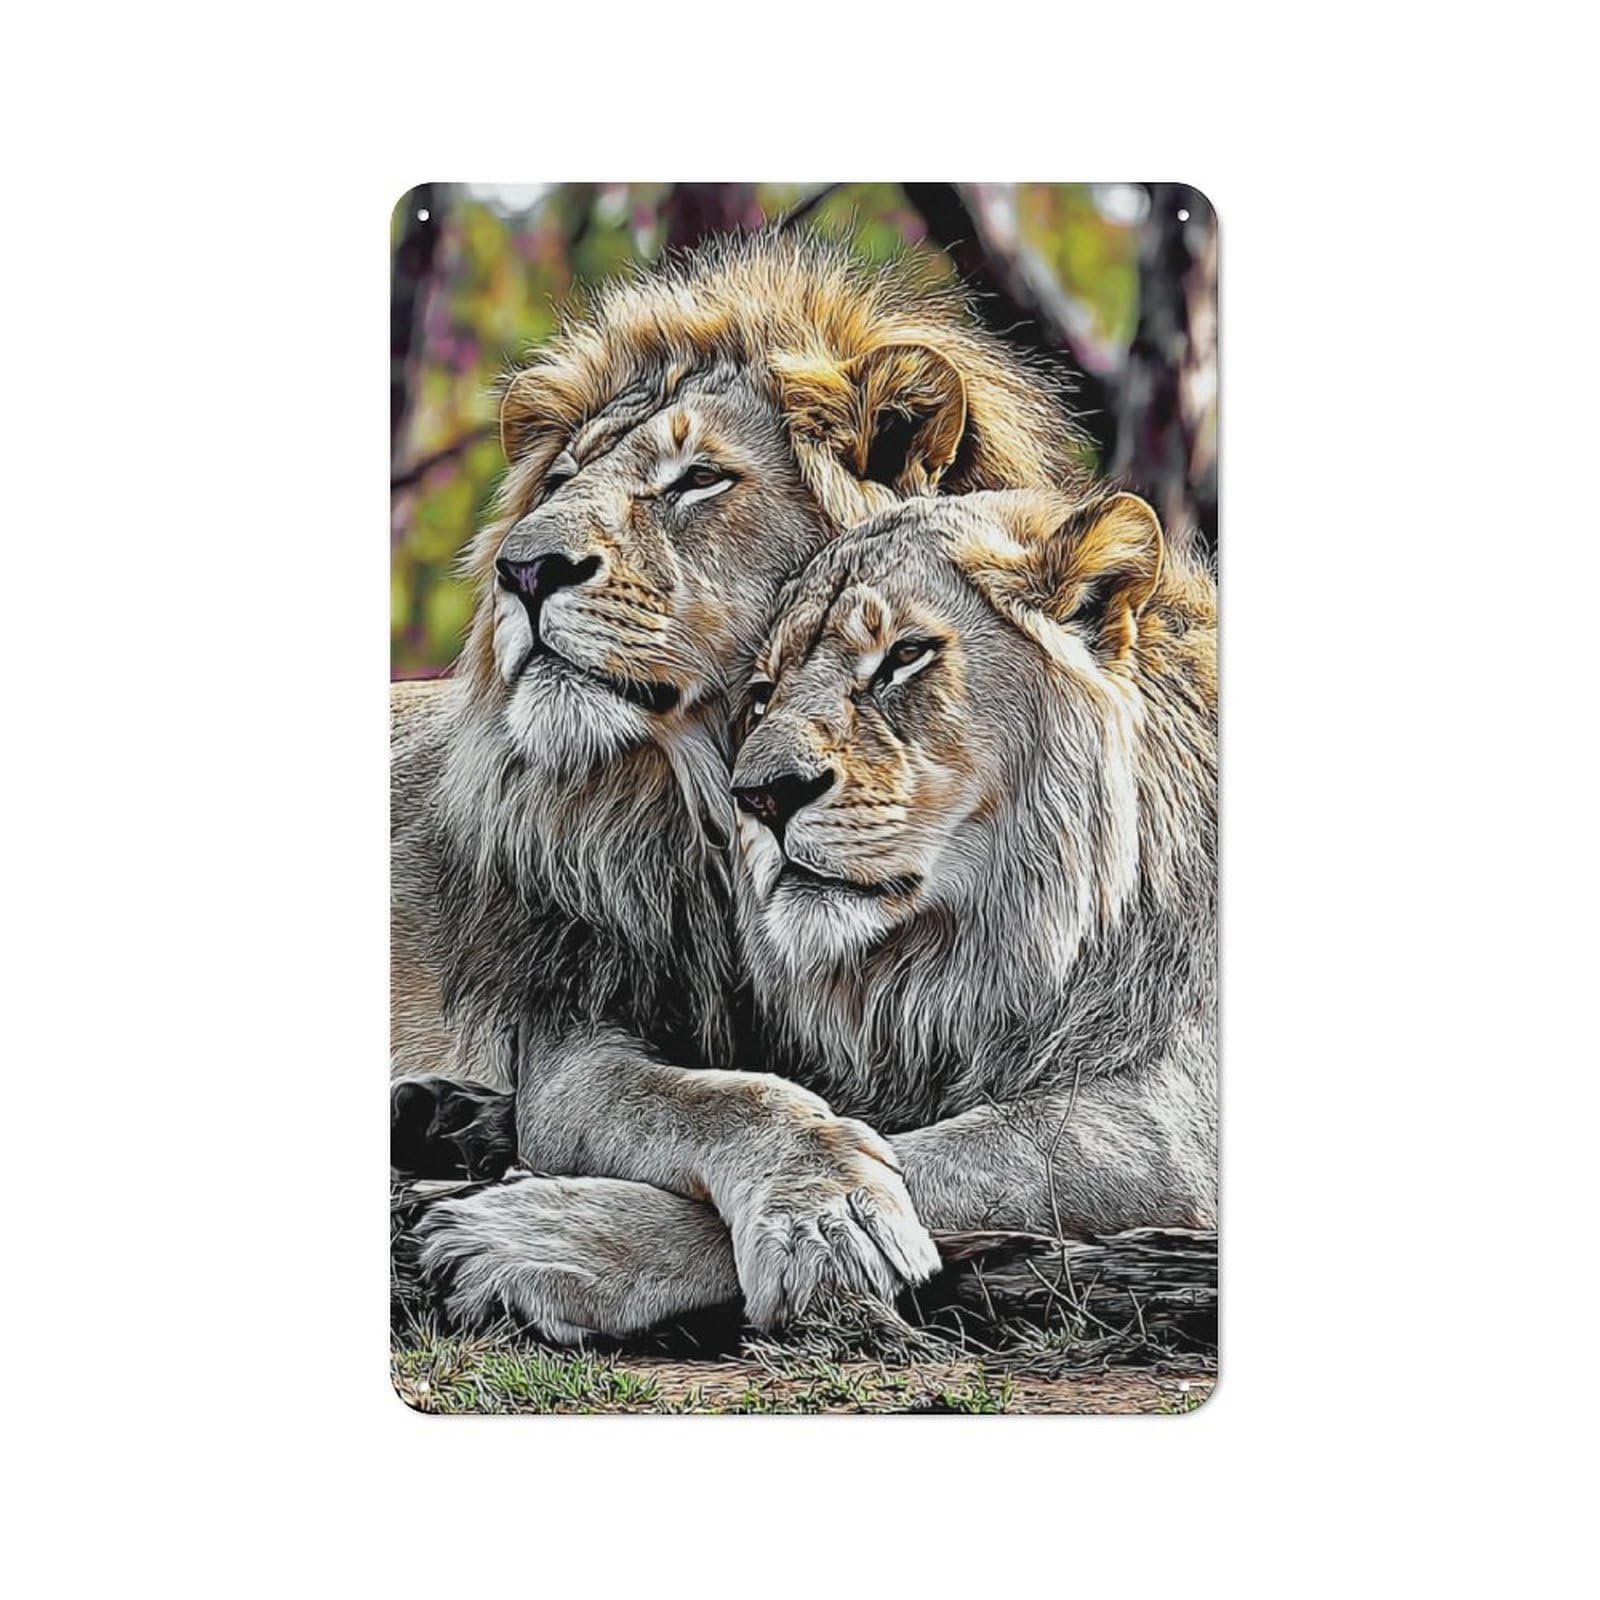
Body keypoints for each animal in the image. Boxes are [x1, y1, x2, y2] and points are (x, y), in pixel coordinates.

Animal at [393, 232, 1087, 1333]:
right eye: (559, 480)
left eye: (698, 480)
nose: (523, 570)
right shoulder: (574, 1038)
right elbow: (726, 1095)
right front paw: (830, 1210)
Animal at [414, 484, 1216, 1340]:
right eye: (762, 696)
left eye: (904, 657)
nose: (762, 796)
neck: (943, 969)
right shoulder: (587, 1041)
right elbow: (730, 1099)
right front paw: (823, 1199)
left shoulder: (1171, 1124)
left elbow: (940, 1156)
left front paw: (538, 1240)